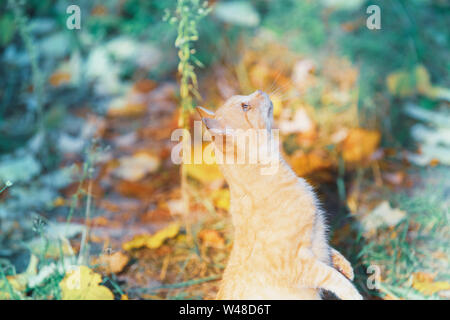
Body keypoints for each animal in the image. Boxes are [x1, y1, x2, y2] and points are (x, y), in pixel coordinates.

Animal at [197, 90, 362, 300]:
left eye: (243, 99)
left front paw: (345, 266)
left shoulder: (318, 239)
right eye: (245, 106)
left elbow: (330, 254)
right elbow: (332, 277)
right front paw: (353, 293)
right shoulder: (298, 265)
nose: (260, 91)